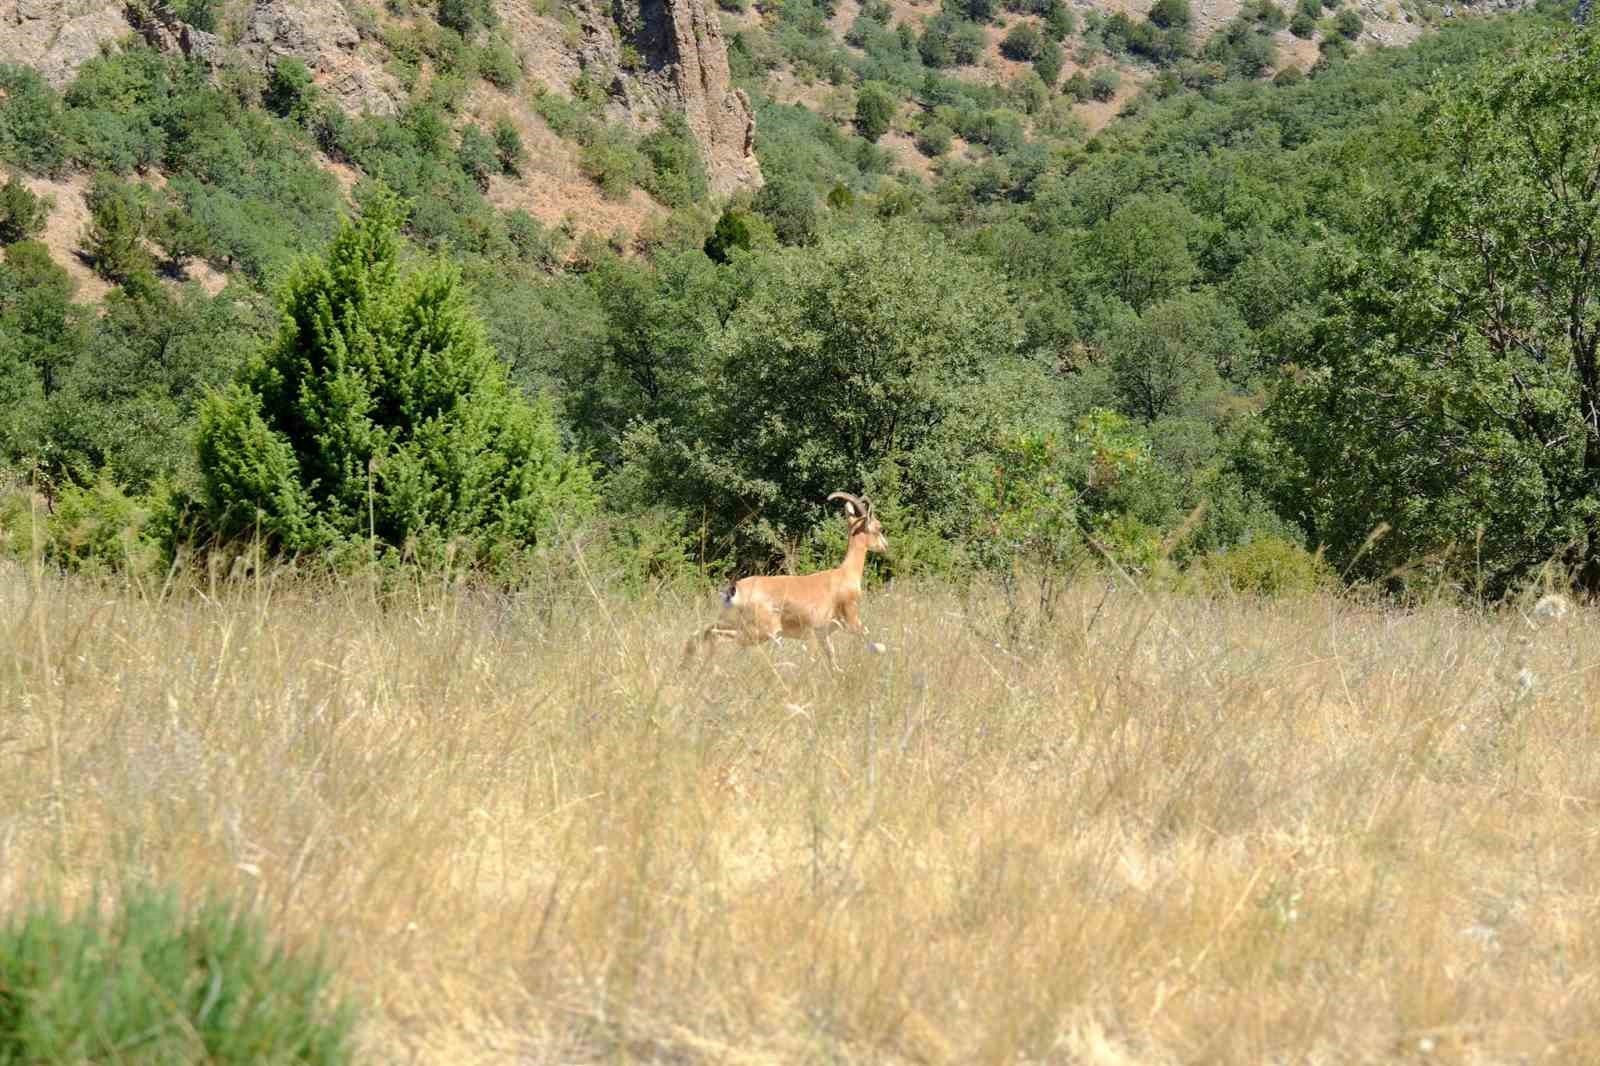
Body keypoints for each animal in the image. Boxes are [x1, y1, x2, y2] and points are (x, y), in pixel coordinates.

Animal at [684, 492, 889, 659]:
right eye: (878, 527)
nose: (885, 546)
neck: (844, 574)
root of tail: (735, 590)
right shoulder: (851, 619)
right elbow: (874, 644)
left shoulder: (823, 635)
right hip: (756, 633)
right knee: (715, 637)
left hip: (730, 623)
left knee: (699, 635)